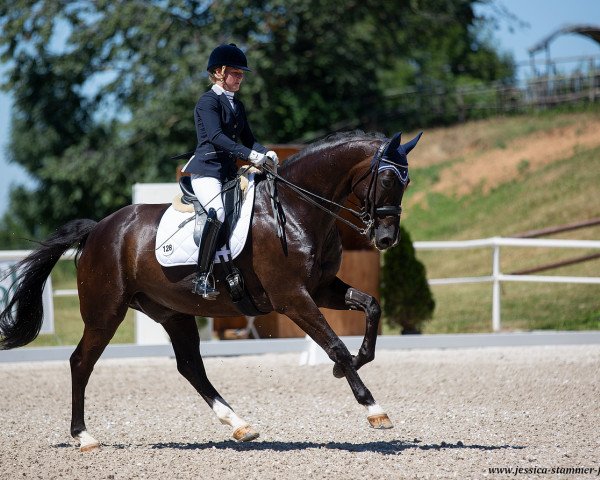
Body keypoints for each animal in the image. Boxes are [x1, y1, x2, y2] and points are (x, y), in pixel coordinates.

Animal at [0, 130, 422, 450]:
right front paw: (374, 409)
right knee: (81, 363)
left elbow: (371, 306)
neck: (296, 209)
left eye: (406, 182)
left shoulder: (320, 289)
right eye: (387, 180)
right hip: (106, 313)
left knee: (190, 367)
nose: (385, 239)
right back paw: (84, 437)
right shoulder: (293, 297)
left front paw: (352, 364)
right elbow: (335, 343)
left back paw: (239, 424)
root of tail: (97, 231)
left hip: (171, 311)